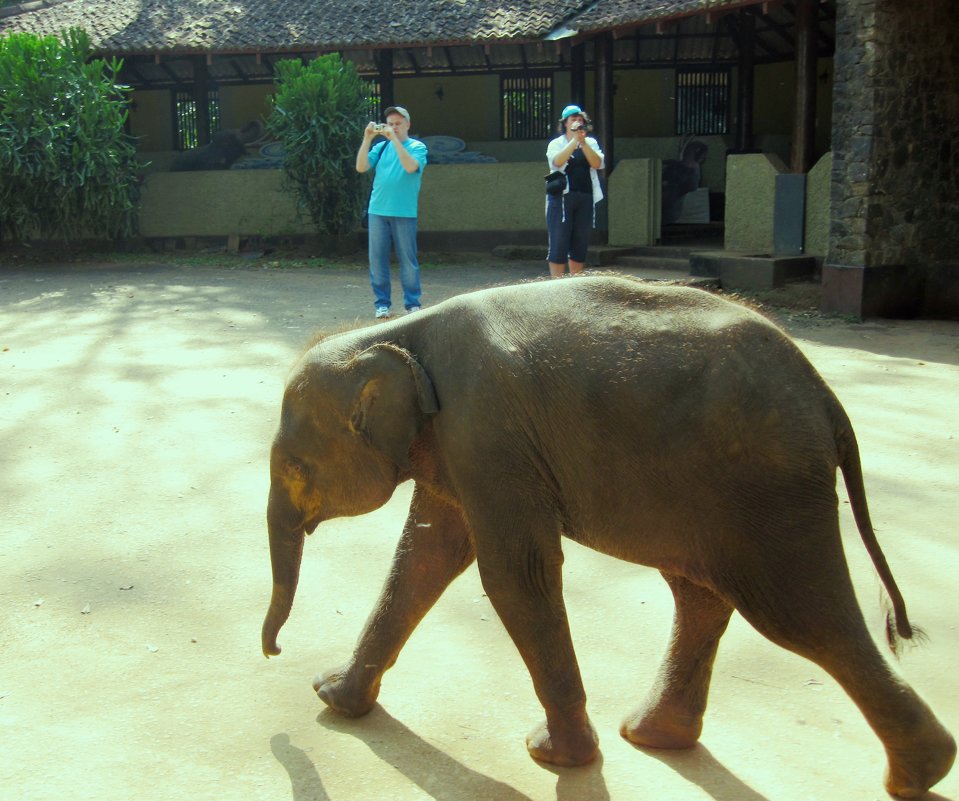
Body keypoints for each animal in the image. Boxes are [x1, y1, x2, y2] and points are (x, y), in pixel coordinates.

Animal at [258, 274, 956, 792]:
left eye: (293, 465)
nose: (274, 653)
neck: (394, 334)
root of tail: (828, 397)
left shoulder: (487, 435)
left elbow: (514, 573)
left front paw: (554, 758)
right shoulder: (456, 448)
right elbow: (426, 555)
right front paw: (334, 698)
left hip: (770, 488)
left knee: (801, 616)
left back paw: (919, 774)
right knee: (701, 595)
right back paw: (652, 737)